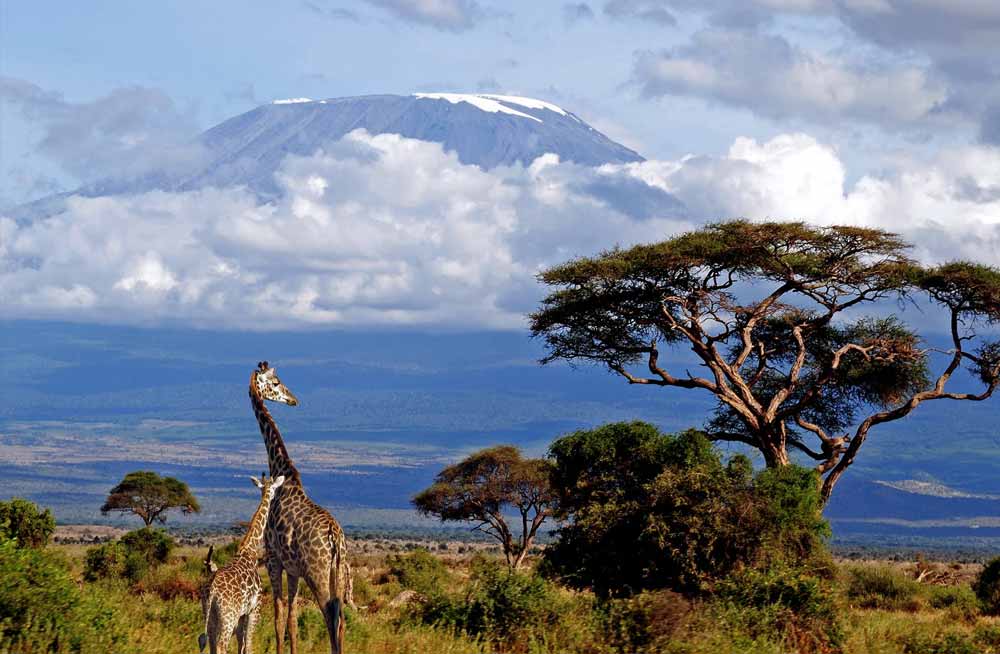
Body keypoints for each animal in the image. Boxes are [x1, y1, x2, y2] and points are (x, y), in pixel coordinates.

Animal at [199, 474, 286, 654]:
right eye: (274, 489)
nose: (273, 497)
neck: (249, 549)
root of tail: (211, 591)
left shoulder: (241, 614)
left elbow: (241, 644)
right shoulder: (254, 609)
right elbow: (249, 645)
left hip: (209, 614)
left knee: (211, 644)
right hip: (228, 616)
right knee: (221, 646)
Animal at [250, 362, 352, 652]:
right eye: (275, 383)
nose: (293, 400)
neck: (283, 472)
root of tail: (334, 537)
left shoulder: (273, 560)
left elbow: (277, 617)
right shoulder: (293, 569)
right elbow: (292, 621)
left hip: (317, 574)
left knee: (330, 615)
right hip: (339, 572)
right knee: (341, 619)